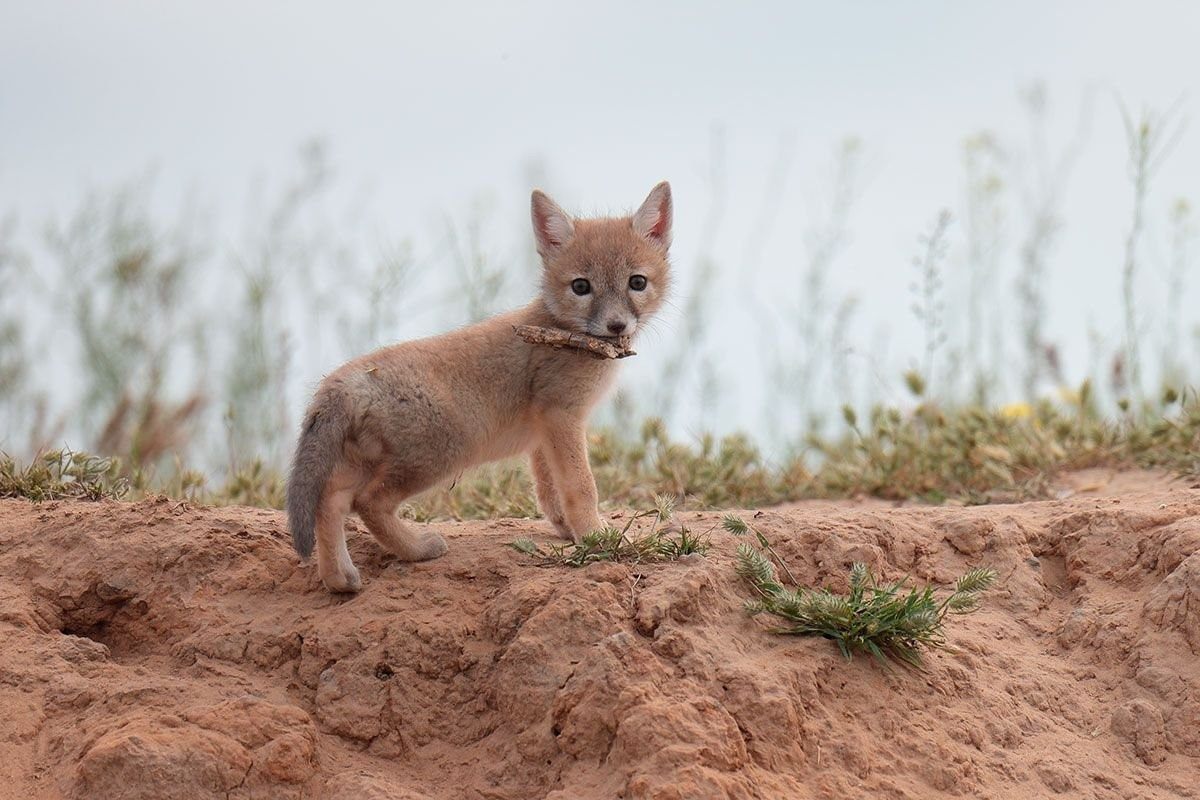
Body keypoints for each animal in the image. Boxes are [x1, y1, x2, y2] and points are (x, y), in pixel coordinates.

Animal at [284, 184, 672, 592]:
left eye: (637, 282)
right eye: (581, 287)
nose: (616, 325)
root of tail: (342, 381)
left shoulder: (544, 431)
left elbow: (550, 491)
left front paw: (570, 531)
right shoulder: (561, 416)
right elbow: (581, 487)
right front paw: (597, 538)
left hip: (372, 464)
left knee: (331, 502)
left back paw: (340, 579)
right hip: (441, 455)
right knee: (367, 503)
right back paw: (418, 549)